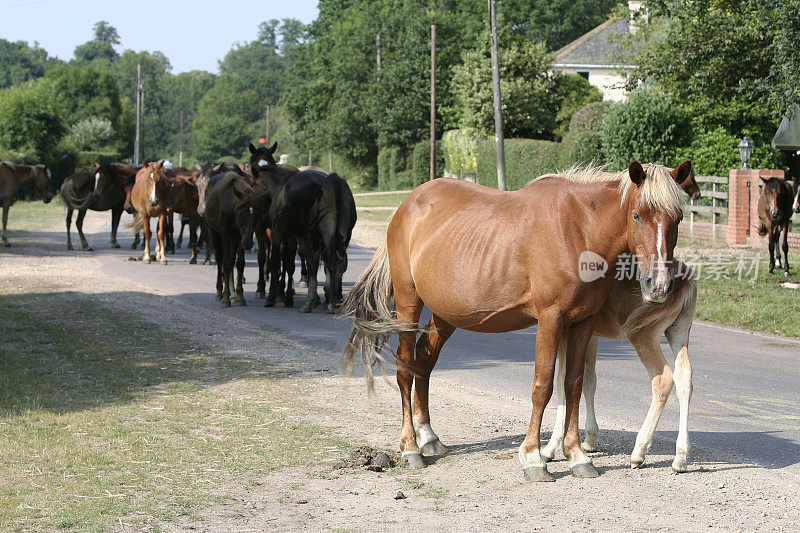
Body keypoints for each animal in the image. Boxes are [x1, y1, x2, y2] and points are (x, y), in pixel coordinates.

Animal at [340, 160, 692, 480]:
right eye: (637, 215)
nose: (660, 286)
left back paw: (429, 437)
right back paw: (411, 447)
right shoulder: (550, 319)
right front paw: (534, 458)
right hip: (408, 302)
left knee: (423, 364)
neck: (577, 230)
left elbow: (574, 384)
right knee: (404, 370)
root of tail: (406, 206)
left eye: (677, 218)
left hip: (445, 314)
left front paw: (577, 455)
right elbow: (543, 386)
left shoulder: (584, 323)